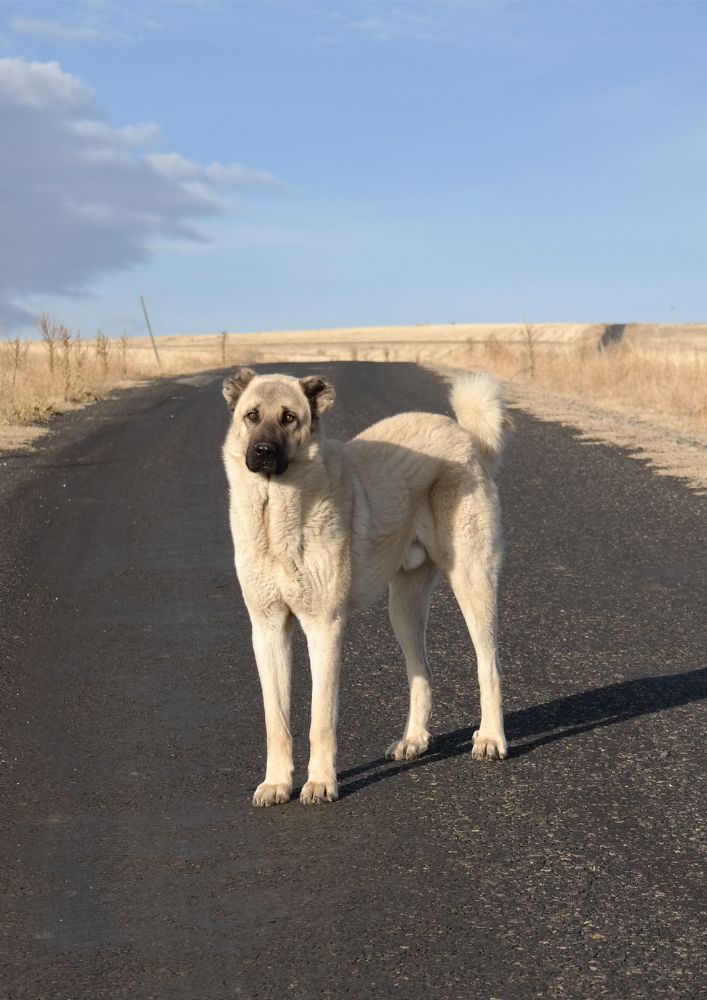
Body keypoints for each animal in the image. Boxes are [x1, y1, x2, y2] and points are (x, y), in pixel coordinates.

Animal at [221, 368, 508, 804]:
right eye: (251, 415)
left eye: (289, 417)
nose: (264, 451)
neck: (276, 516)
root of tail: (463, 433)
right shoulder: (268, 630)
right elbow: (277, 721)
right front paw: (277, 782)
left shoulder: (324, 628)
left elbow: (320, 718)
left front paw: (320, 782)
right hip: (403, 607)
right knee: (420, 671)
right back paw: (413, 740)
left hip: (472, 583)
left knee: (488, 665)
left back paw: (491, 738)